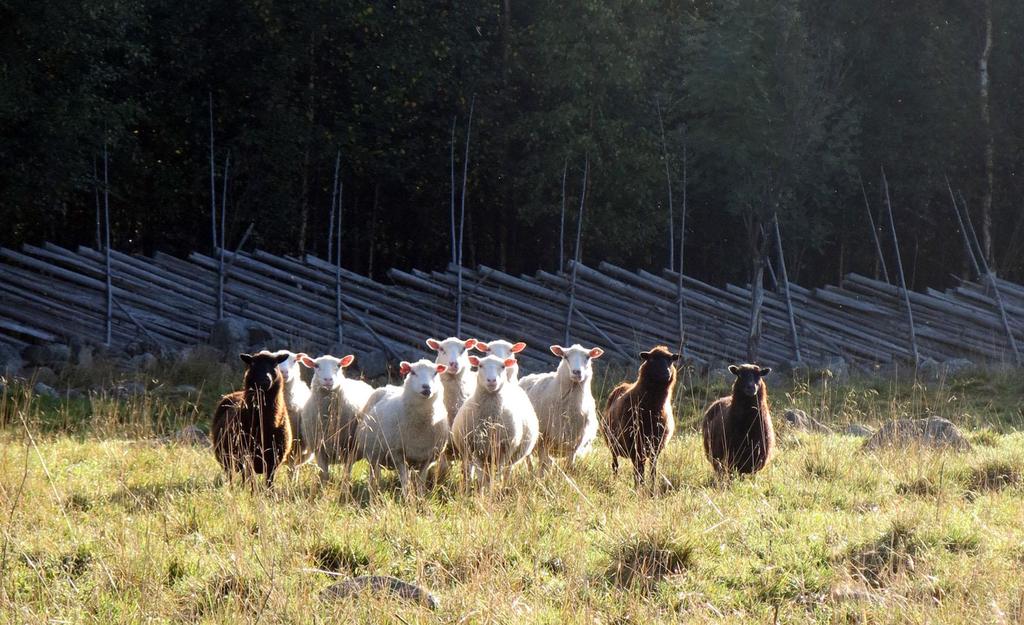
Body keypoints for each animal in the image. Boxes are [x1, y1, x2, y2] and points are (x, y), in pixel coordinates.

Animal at [209, 348, 292, 483]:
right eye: (253, 364)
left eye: (275, 364)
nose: (264, 380)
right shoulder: (245, 458)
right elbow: (249, 480)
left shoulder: (273, 462)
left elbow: (269, 483)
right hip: (227, 459)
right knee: (230, 475)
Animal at [299, 350, 374, 481]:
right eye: (316, 365)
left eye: (339, 365)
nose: (328, 380)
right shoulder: (319, 449)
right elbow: (325, 475)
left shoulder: (349, 450)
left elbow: (346, 474)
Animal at [358, 354, 450, 495]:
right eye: (413, 372)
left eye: (435, 373)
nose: (426, 388)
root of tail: (388, 386)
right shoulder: (398, 454)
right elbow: (405, 480)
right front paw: (406, 497)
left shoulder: (427, 457)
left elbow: (421, 481)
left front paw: (420, 497)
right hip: (373, 454)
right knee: (374, 474)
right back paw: (373, 491)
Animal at [452, 352, 540, 483]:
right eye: (480, 365)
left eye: (503, 366)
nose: (492, 380)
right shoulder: (476, 449)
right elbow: (482, 477)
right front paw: (482, 489)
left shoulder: (504, 451)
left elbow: (496, 475)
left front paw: (493, 488)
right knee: (469, 469)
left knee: (507, 471)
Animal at [598, 346, 679, 487]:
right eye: (651, 359)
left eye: (670, 360)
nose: (666, 374)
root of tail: (622, 385)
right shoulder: (634, 445)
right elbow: (638, 471)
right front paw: (639, 487)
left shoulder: (655, 446)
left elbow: (653, 470)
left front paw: (652, 488)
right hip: (613, 444)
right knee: (615, 464)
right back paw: (615, 480)